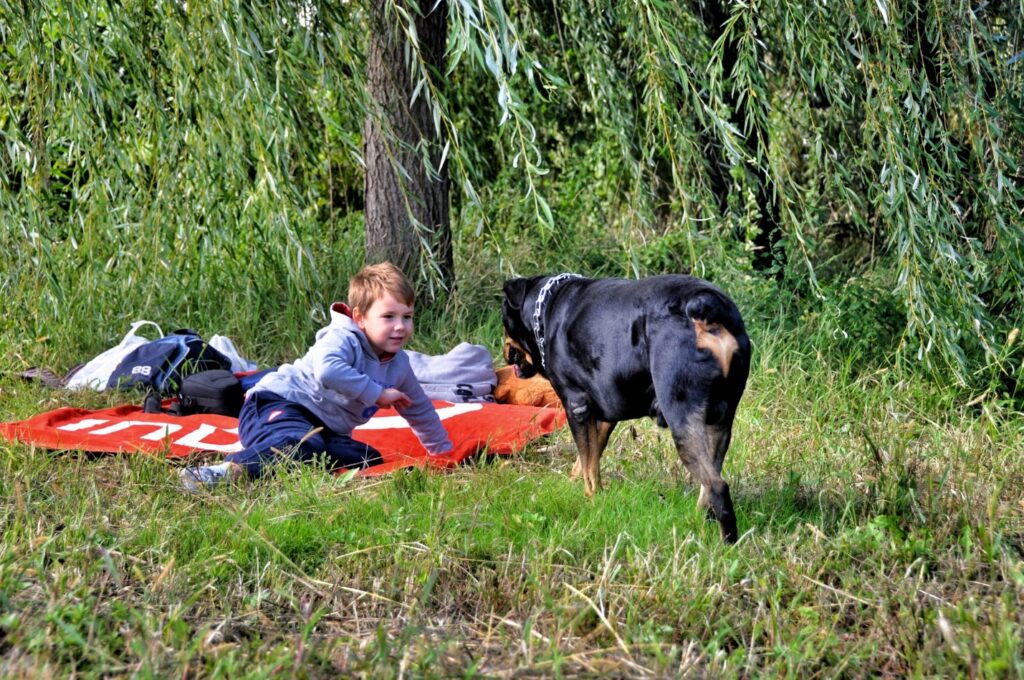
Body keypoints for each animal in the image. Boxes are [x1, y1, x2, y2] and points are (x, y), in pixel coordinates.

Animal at [503, 274, 753, 544]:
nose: (505, 353)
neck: (546, 310)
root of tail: (705, 304)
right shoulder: (602, 415)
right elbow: (590, 459)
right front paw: (578, 484)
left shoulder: (576, 404)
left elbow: (589, 464)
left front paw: (591, 499)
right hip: (721, 421)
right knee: (709, 484)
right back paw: (699, 522)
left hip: (681, 418)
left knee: (717, 485)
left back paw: (726, 543)